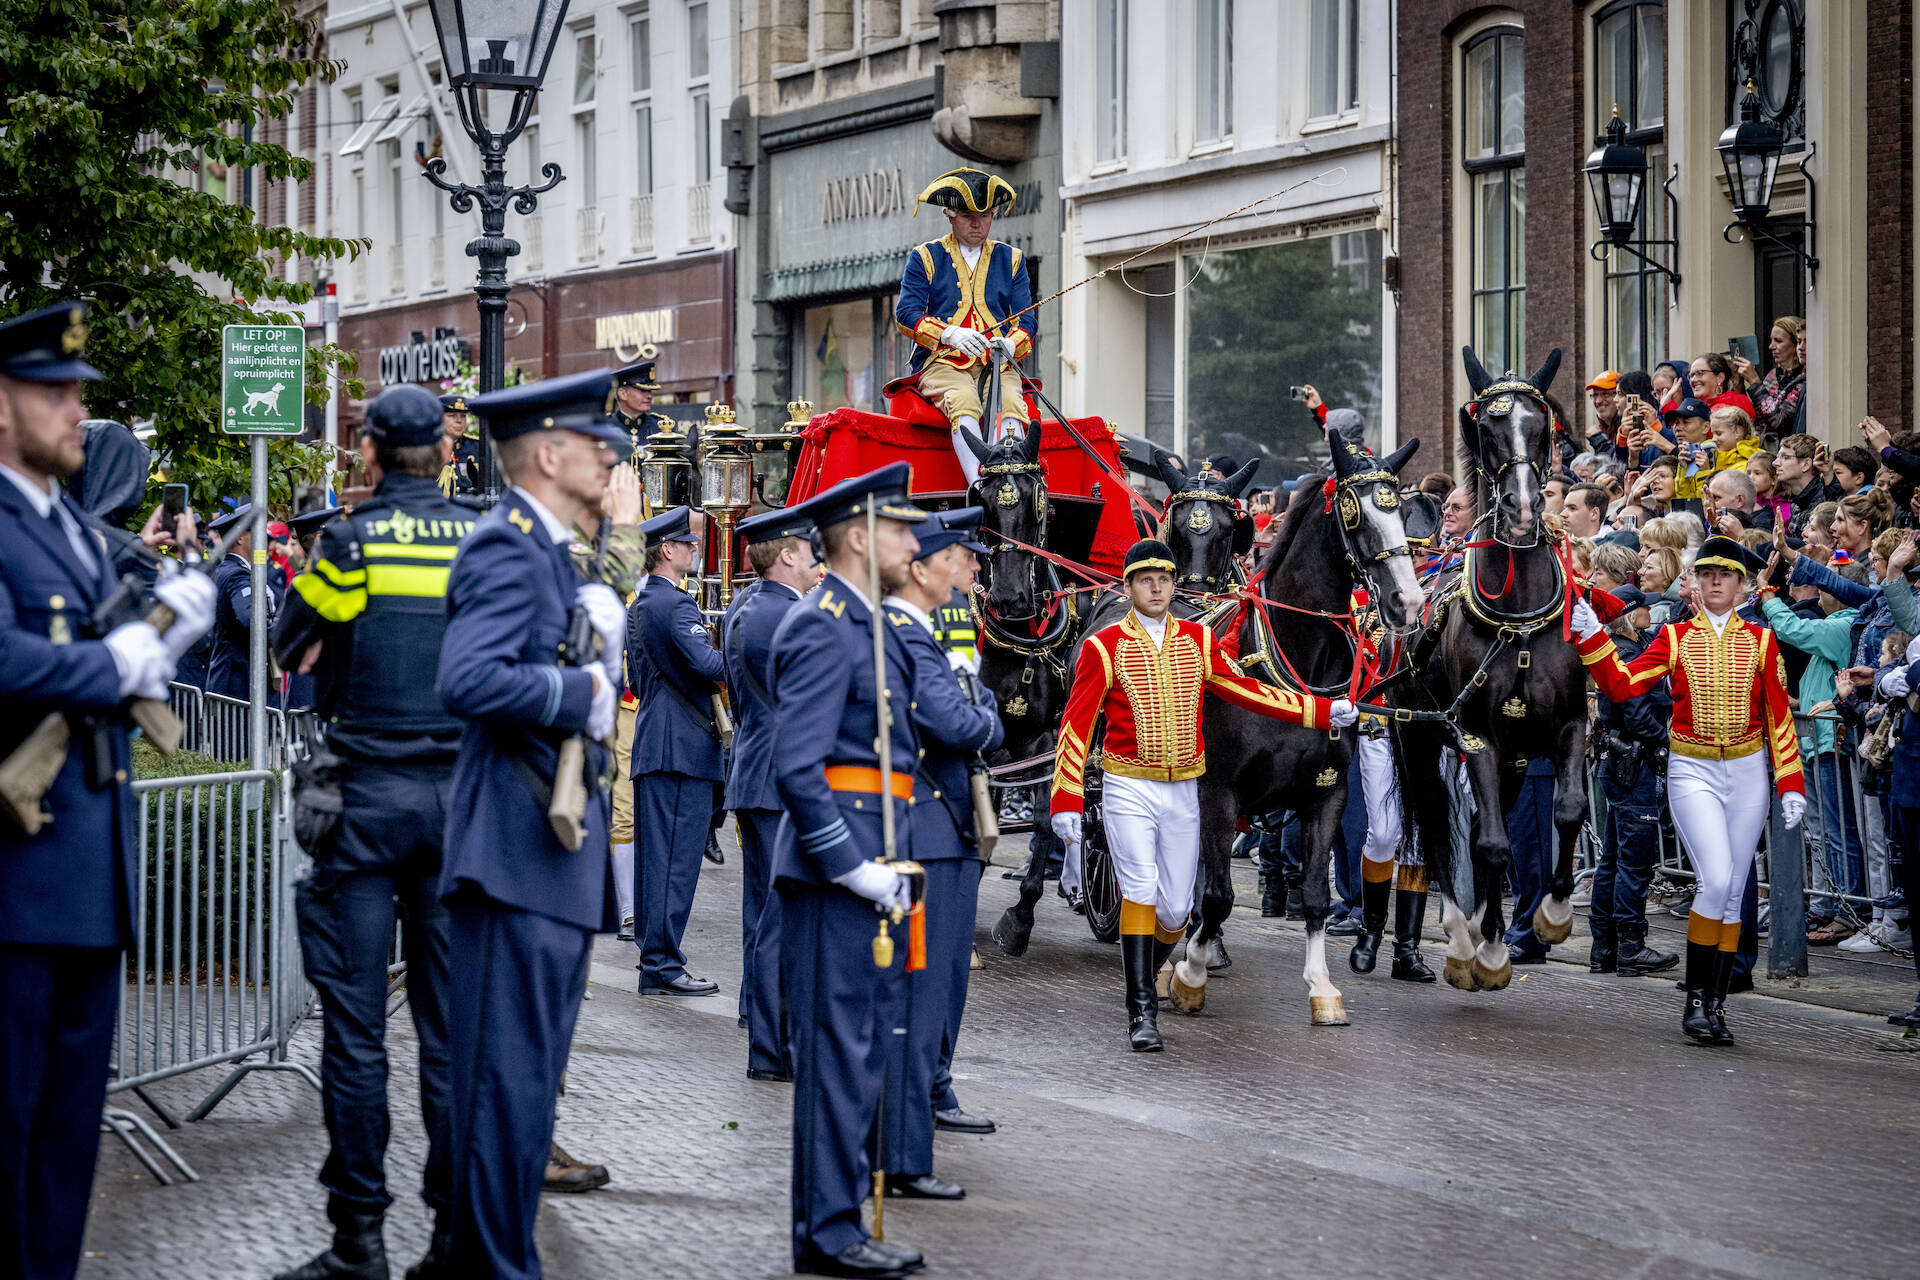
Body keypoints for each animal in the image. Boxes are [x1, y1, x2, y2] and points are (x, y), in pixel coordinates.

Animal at [1397, 347, 1589, 990]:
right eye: (1485, 429)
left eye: (1541, 424)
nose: (1526, 508)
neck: (1519, 619)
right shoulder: (1476, 734)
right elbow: (1494, 846)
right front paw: (1488, 952)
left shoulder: (1570, 724)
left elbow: (1568, 809)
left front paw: (1552, 916)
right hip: (1417, 738)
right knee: (1439, 825)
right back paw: (1462, 937)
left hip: (1514, 755)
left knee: (1488, 818)